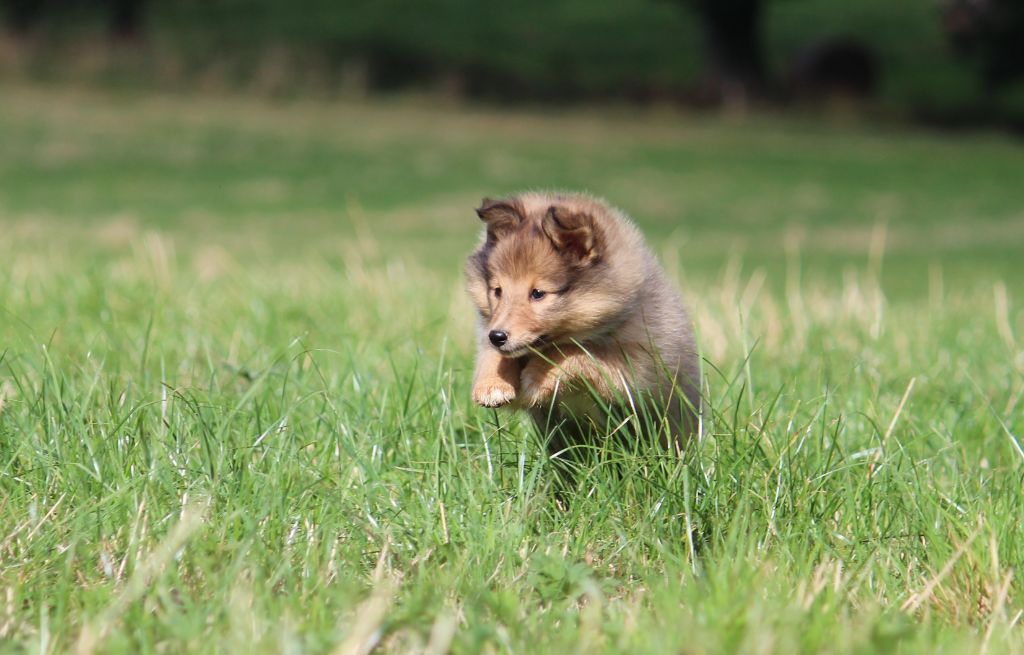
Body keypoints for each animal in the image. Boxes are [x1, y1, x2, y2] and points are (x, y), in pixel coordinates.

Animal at [465, 192, 700, 451]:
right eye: (497, 290)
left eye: (538, 293)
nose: (497, 336)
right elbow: (493, 356)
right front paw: (492, 385)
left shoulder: (638, 368)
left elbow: (579, 352)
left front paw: (538, 376)